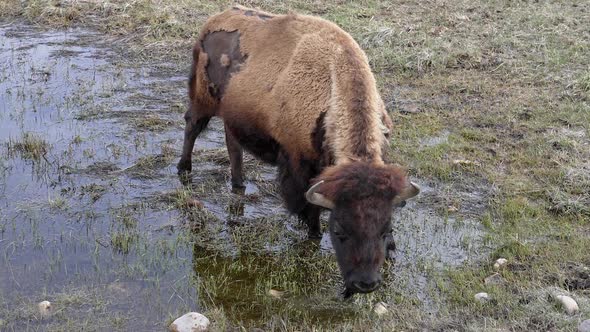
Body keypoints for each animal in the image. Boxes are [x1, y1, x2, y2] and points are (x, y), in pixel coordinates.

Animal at [179, 5, 420, 296]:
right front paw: (313, 236)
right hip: (203, 99)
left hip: (231, 116)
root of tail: (215, 18)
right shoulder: (299, 168)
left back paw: (238, 183)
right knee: (192, 126)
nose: (365, 283)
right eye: (339, 230)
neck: (333, 89)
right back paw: (184, 169)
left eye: (386, 229)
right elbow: (308, 208)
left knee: (232, 146)